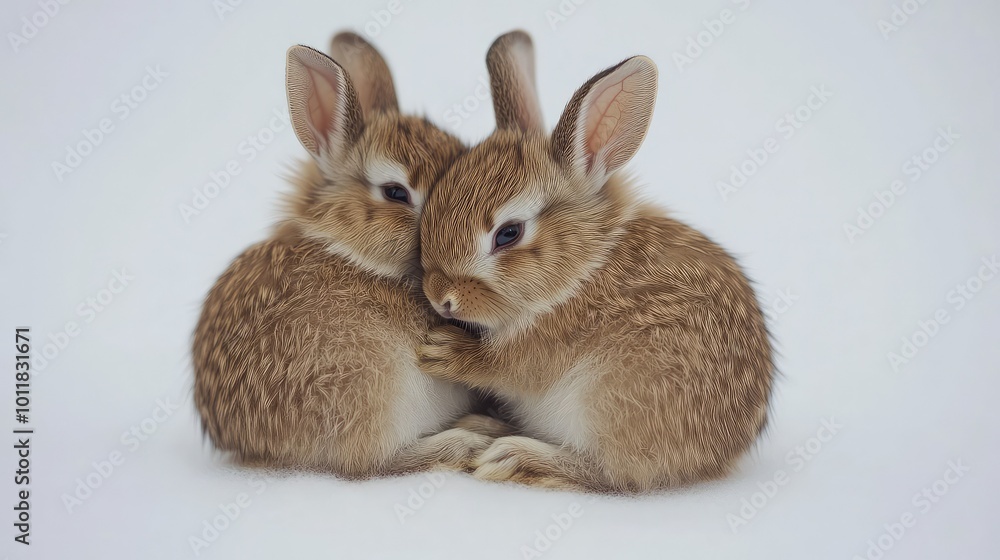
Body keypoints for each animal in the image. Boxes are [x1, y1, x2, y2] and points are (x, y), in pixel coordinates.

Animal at [416, 31, 775, 493]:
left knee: (608, 474)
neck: (579, 271)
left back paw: (512, 457)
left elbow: (502, 366)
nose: (440, 297)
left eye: (509, 234)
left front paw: (442, 350)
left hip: (607, 404)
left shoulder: (541, 348)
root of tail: (722, 454)